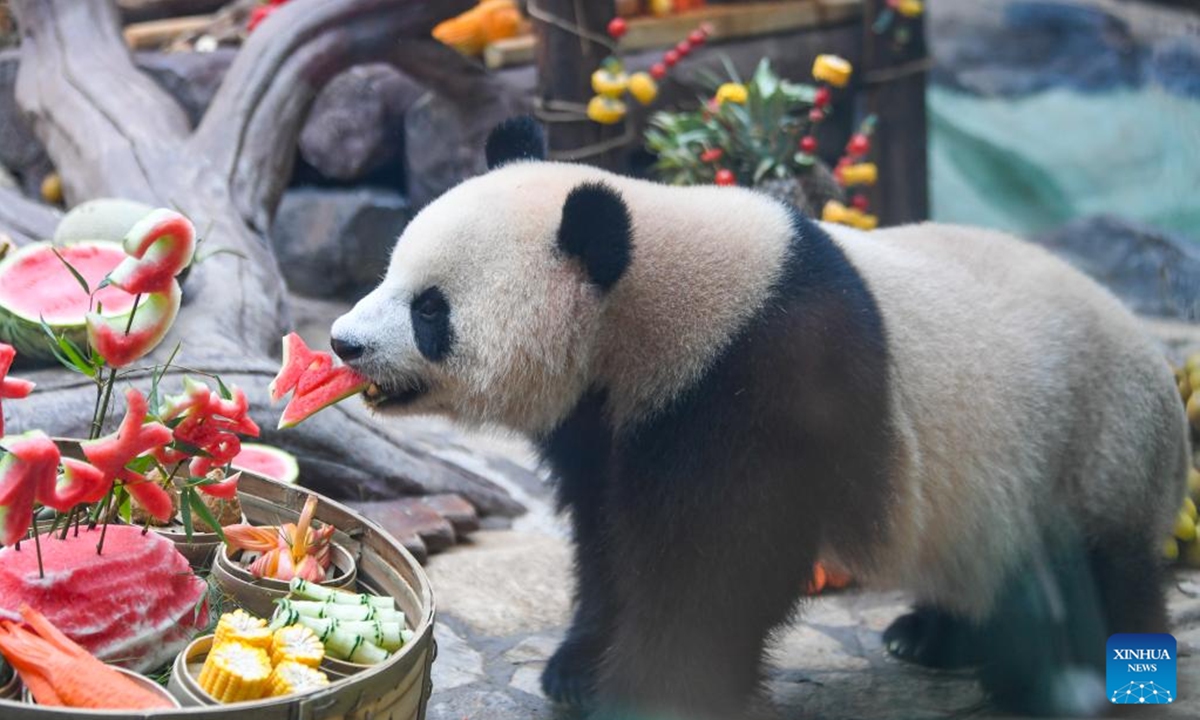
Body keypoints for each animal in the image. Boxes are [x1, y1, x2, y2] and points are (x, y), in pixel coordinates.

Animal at [331, 118, 1190, 720]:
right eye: (391, 271)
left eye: (431, 309)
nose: (344, 342)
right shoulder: (611, 417)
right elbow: (607, 538)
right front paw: (576, 667)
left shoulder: (760, 381)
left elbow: (714, 565)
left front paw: (651, 691)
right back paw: (930, 636)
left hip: (1087, 446)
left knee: (1090, 580)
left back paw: (1060, 679)